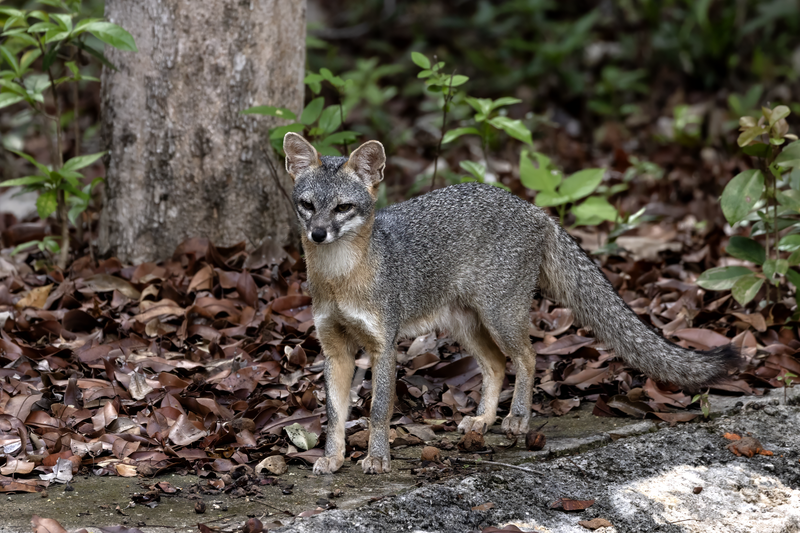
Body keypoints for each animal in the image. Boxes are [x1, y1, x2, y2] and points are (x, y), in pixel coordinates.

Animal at [282, 132, 736, 474]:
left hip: (500, 317)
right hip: (467, 325)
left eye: (343, 207)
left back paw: (517, 418)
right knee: (498, 365)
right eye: (307, 206)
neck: (339, 279)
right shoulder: (334, 349)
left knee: (529, 357)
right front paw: (333, 458)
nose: (319, 233)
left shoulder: (383, 346)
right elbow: (334, 414)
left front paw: (377, 459)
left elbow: (377, 410)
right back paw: (483, 420)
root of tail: (536, 210)